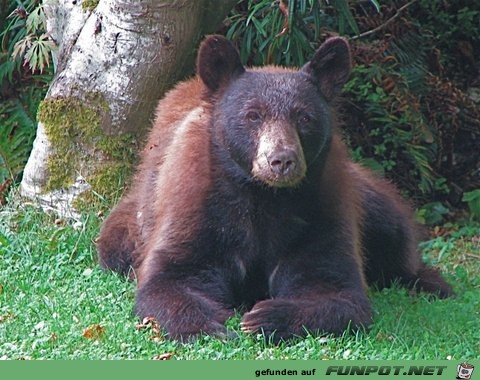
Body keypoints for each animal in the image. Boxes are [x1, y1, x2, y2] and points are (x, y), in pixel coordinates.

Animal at [97, 34, 454, 340]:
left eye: (304, 117)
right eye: (253, 115)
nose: (281, 160)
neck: (263, 196)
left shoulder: (322, 205)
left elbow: (337, 289)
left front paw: (265, 317)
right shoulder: (196, 203)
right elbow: (171, 276)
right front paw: (211, 323)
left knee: (396, 231)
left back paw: (430, 282)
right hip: (127, 226)